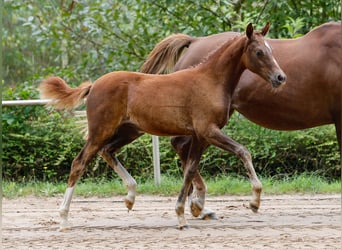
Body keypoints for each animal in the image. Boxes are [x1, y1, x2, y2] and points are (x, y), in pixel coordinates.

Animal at [40, 22, 286, 229]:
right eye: (259, 52)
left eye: (271, 50)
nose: (280, 77)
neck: (210, 80)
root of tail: (93, 85)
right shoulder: (208, 130)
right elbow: (243, 151)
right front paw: (254, 201)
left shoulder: (200, 136)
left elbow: (190, 170)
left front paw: (183, 214)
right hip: (101, 131)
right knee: (79, 163)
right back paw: (64, 218)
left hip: (129, 131)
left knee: (107, 151)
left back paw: (130, 197)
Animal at [140, 22, 340, 221]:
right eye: (259, 52)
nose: (280, 77)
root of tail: (195, 41)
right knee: (181, 146)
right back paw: (197, 204)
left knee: (184, 150)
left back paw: (197, 205)